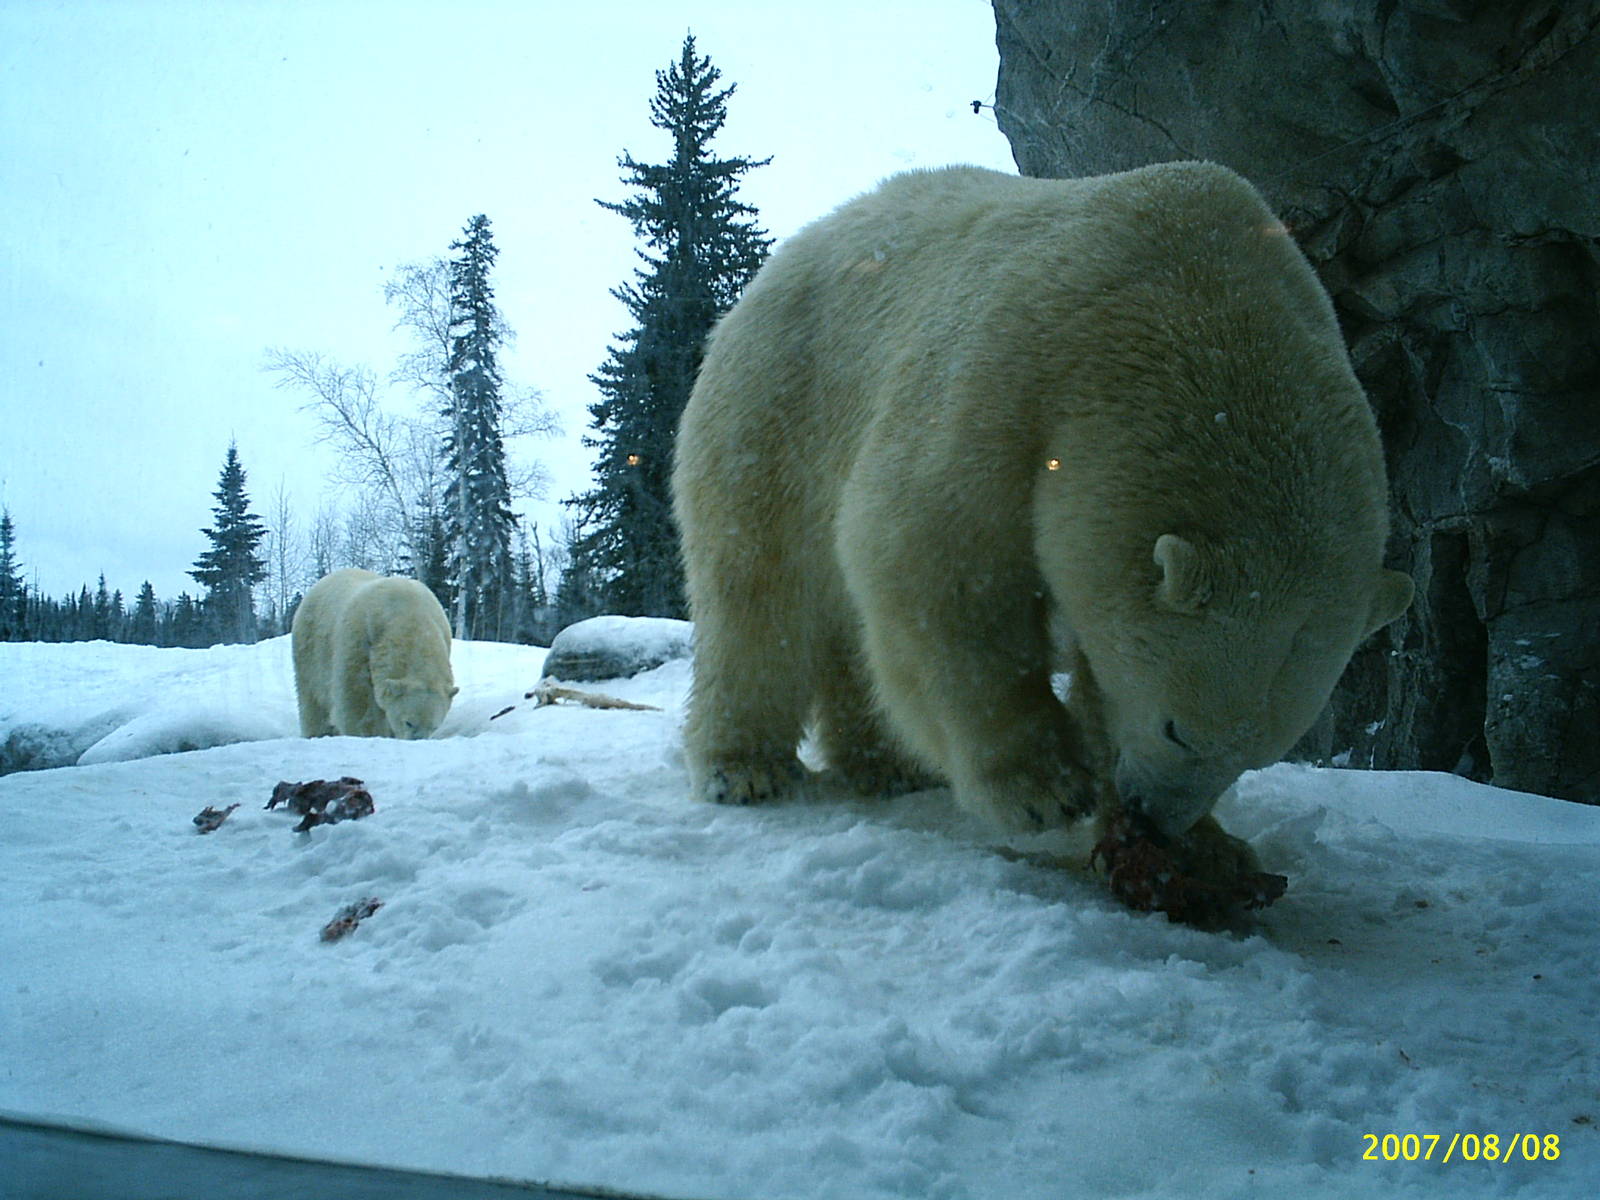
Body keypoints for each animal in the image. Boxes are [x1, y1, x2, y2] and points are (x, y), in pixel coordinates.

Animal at [291, 568, 458, 740]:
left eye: (434, 727)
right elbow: (357, 700)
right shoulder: (359, 643)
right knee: (312, 698)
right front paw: (367, 734)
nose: (417, 740)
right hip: (309, 648)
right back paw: (318, 733)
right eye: (408, 722)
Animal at [672, 162, 1413, 863]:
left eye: (1257, 754)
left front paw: (1205, 842)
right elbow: (935, 563)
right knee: (759, 591)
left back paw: (886, 764)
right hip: (778, 404)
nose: (1156, 817)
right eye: (1177, 728)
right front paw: (1044, 790)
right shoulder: (1012, 374)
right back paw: (743, 768)